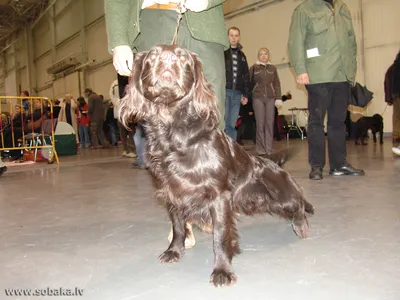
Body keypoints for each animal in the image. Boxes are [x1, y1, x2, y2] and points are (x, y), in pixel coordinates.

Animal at [120, 44, 314, 286]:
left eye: (183, 57)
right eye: (153, 55)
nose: (167, 59)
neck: (174, 131)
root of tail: (272, 162)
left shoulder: (219, 196)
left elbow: (220, 236)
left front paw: (222, 270)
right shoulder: (172, 193)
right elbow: (178, 226)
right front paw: (174, 251)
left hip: (282, 197)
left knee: (299, 204)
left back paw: (302, 226)